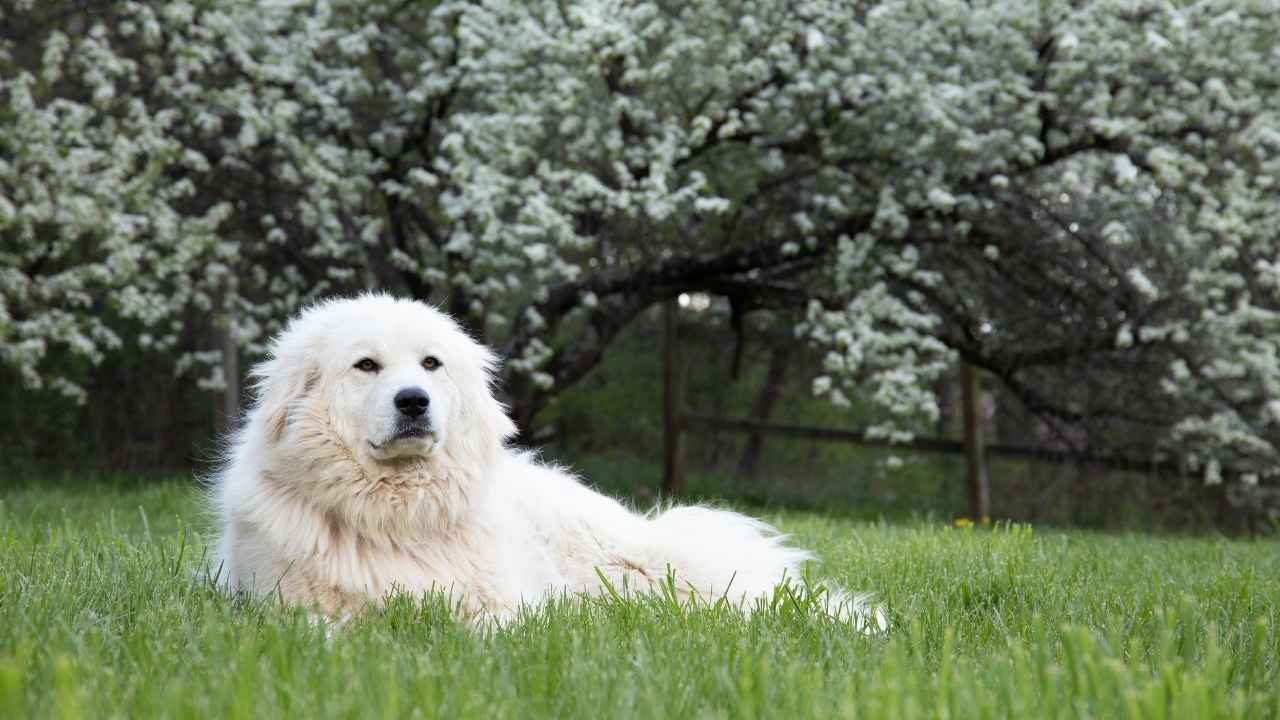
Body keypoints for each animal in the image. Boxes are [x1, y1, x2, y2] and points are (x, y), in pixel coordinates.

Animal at [215, 292, 885, 627]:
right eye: (366, 366)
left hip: (654, 566)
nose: (414, 401)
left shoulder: (499, 608)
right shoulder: (293, 612)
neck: (398, 515)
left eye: (431, 364)